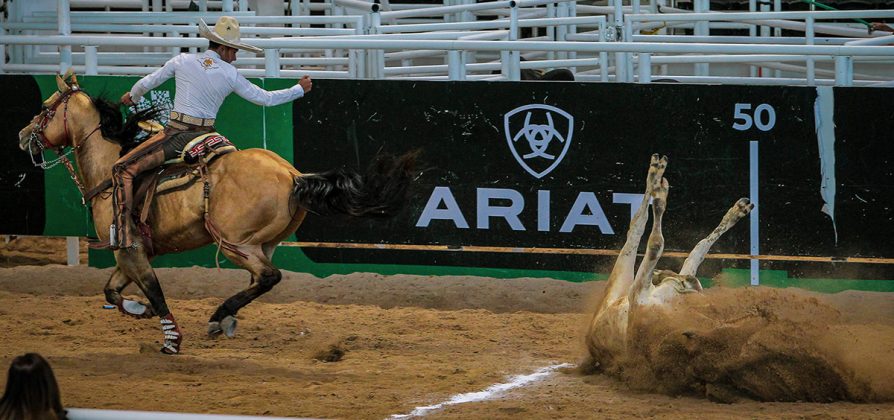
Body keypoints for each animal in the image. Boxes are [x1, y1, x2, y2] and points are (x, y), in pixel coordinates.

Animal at [17, 72, 416, 354]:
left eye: (46, 108)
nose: (23, 135)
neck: (109, 167)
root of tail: (292, 176)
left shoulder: (129, 251)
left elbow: (152, 292)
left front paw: (170, 338)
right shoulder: (130, 254)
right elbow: (111, 291)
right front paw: (140, 310)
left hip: (234, 243)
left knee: (268, 276)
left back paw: (218, 316)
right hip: (263, 242)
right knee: (260, 279)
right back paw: (225, 318)